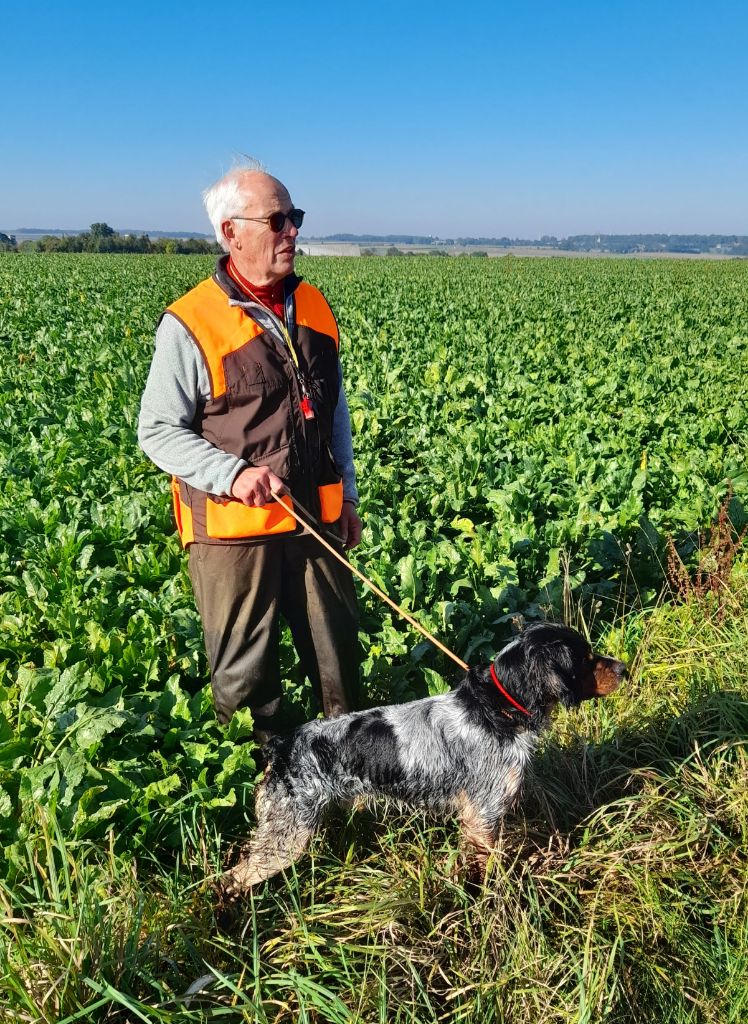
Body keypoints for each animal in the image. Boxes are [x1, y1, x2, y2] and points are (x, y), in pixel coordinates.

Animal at [217, 618, 622, 892]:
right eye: (584, 658)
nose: (624, 667)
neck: (496, 707)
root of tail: (282, 746)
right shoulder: (484, 814)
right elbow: (488, 864)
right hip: (284, 838)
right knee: (230, 879)